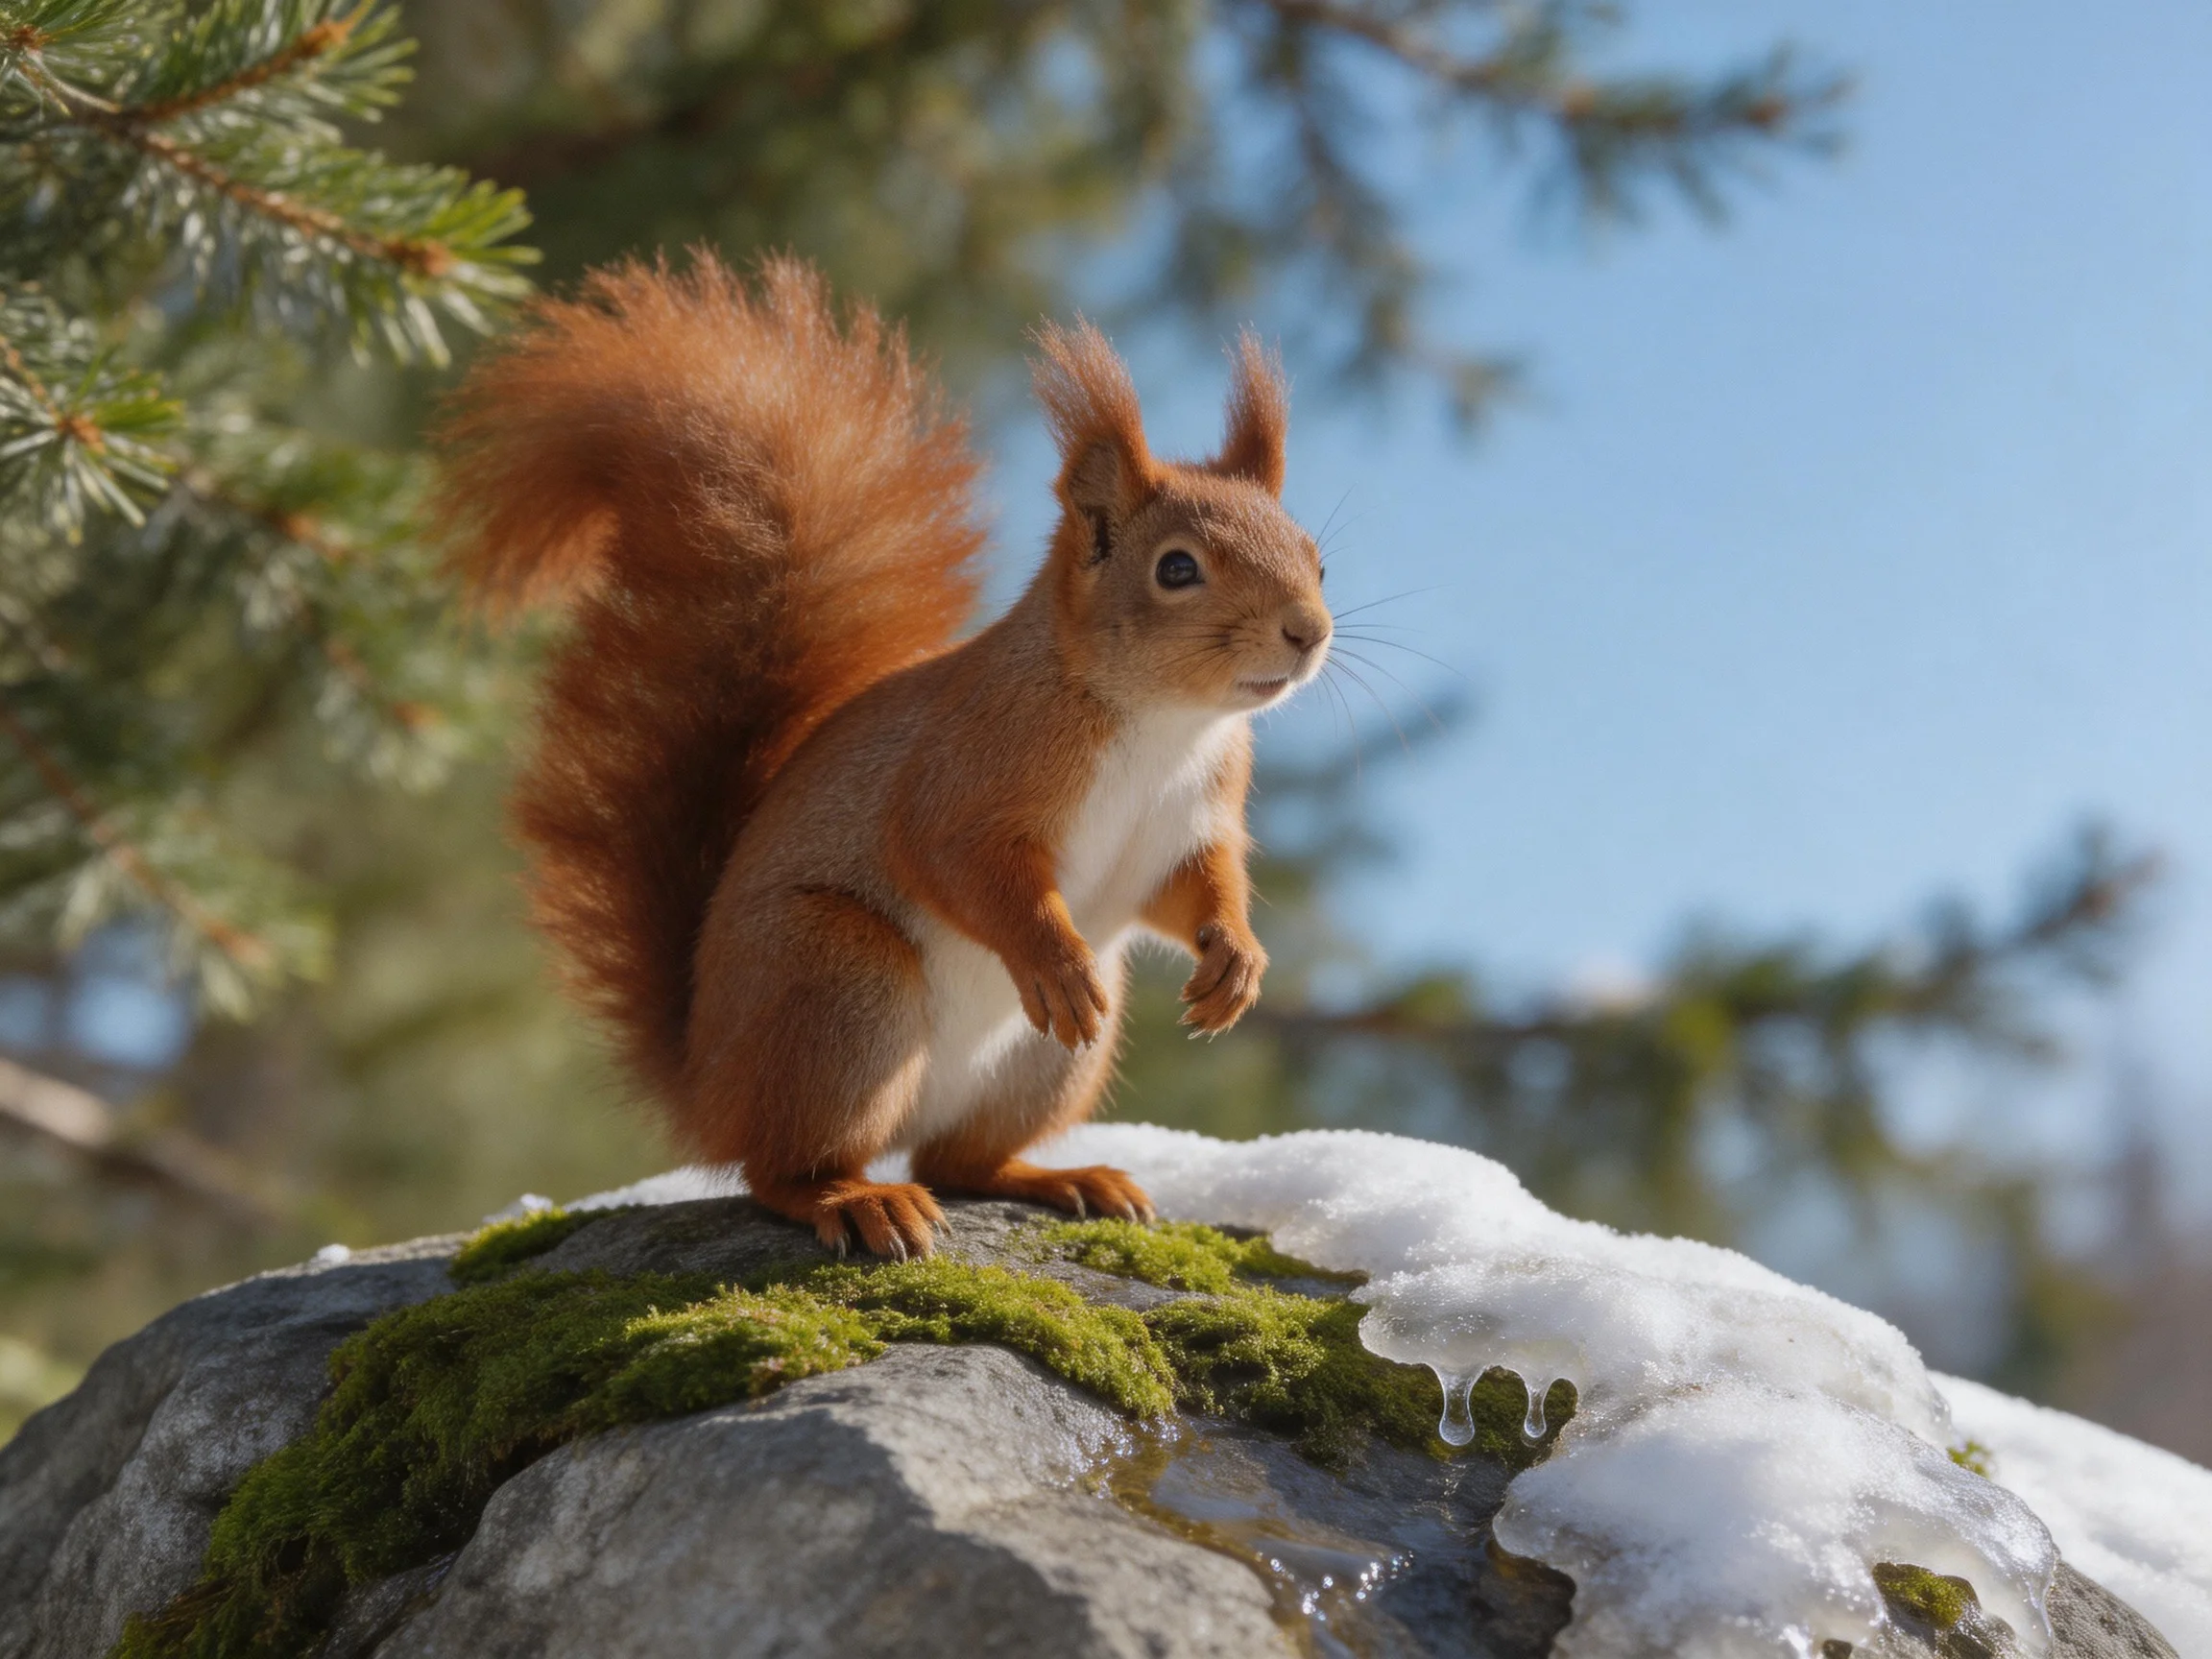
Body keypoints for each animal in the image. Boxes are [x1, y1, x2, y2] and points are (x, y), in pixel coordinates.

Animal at [436, 253, 1331, 1259]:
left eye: (1317, 560)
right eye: (1177, 568)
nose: (1308, 631)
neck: (1161, 723)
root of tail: (705, 1086)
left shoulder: (1195, 817)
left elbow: (1198, 887)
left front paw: (1236, 961)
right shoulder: (968, 771)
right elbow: (956, 860)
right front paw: (1052, 956)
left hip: (1044, 1062)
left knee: (960, 1161)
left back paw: (1061, 1177)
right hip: (841, 984)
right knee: (781, 1169)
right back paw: (857, 1199)